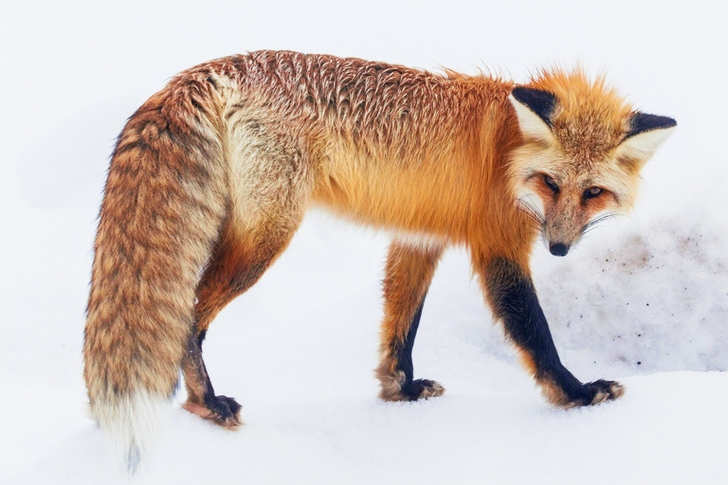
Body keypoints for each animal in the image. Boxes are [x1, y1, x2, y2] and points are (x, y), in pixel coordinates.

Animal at [83, 50, 676, 469]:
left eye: (594, 192)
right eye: (551, 183)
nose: (557, 248)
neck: (507, 151)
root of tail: (209, 69)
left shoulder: (418, 239)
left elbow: (400, 328)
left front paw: (401, 392)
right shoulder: (498, 248)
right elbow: (535, 333)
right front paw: (577, 396)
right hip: (267, 238)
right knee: (189, 315)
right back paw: (205, 403)